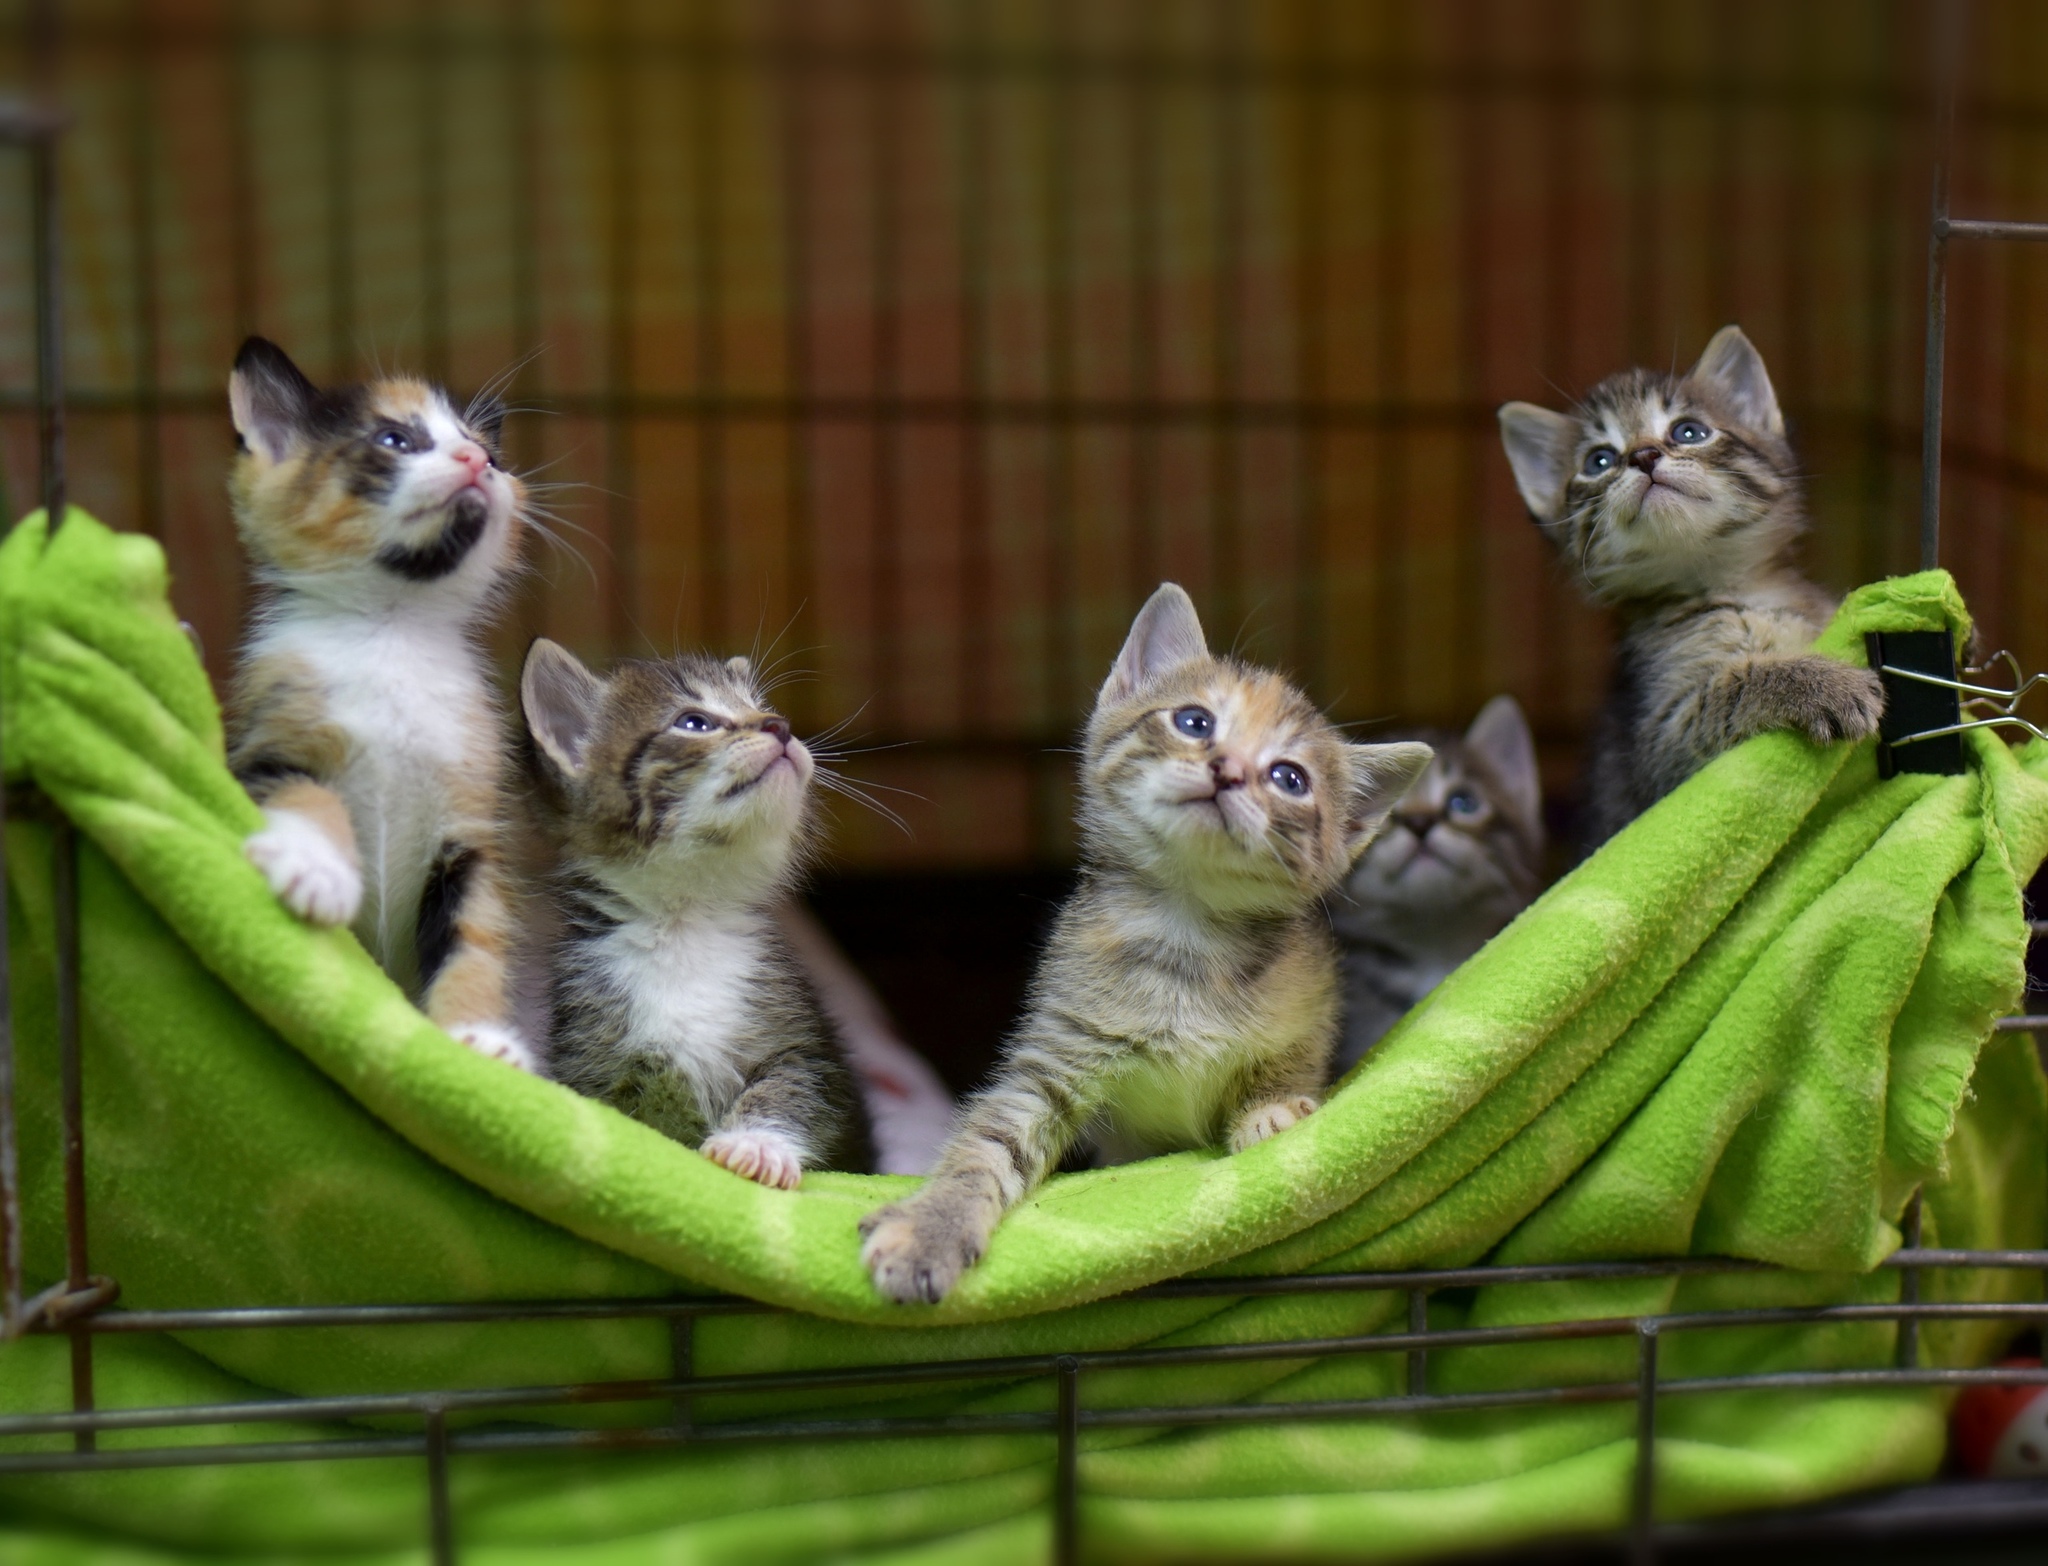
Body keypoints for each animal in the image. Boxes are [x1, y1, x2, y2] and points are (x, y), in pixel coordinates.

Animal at [224, 335, 536, 1072]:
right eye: (396, 439)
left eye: (491, 454)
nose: (477, 461)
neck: (393, 629)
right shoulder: (262, 745)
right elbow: (307, 794)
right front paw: (316, 870)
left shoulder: (471, 828)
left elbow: (475, 934)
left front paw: (479, 1040)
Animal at [520, 634, 872, 1187]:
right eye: (694, 722)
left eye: (762, 707)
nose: (780, 726)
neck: (684, 925)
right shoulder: (587, 1049)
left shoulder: (807, 1042)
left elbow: (799, 1085)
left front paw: (755, 1144)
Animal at [856, 581, 1433, 1301]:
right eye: (1194, 722)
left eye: (1290, 779)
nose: (1228, 770)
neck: (1187, 935)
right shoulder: (1058, 1053)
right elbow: (987, 1148)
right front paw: (931, 1226)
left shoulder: (1313, 1000)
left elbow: (1292, 1061)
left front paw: (1273, 1111)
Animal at [1499, 321, 1875, 847]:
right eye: (1599, 461)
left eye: (1688, 432)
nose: (1643, 455)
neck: (1734, 590)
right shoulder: (1660, 746)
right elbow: (1731, 689)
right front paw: (1822, 684)